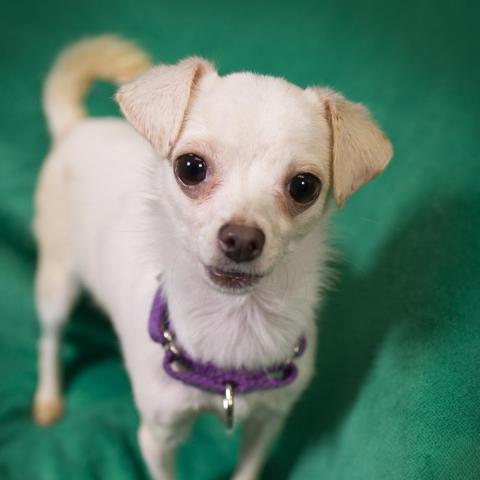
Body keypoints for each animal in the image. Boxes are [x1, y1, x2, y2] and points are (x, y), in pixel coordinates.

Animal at [32, 35, 392, 479]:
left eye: (304, 187)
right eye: (190, 167)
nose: (241, 239)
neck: (235, 325)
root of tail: (76, 127)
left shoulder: (266, 423)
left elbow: (248, 470)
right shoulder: (157, 437)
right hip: (58, 281)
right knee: (49, 336)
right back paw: (48, 397)